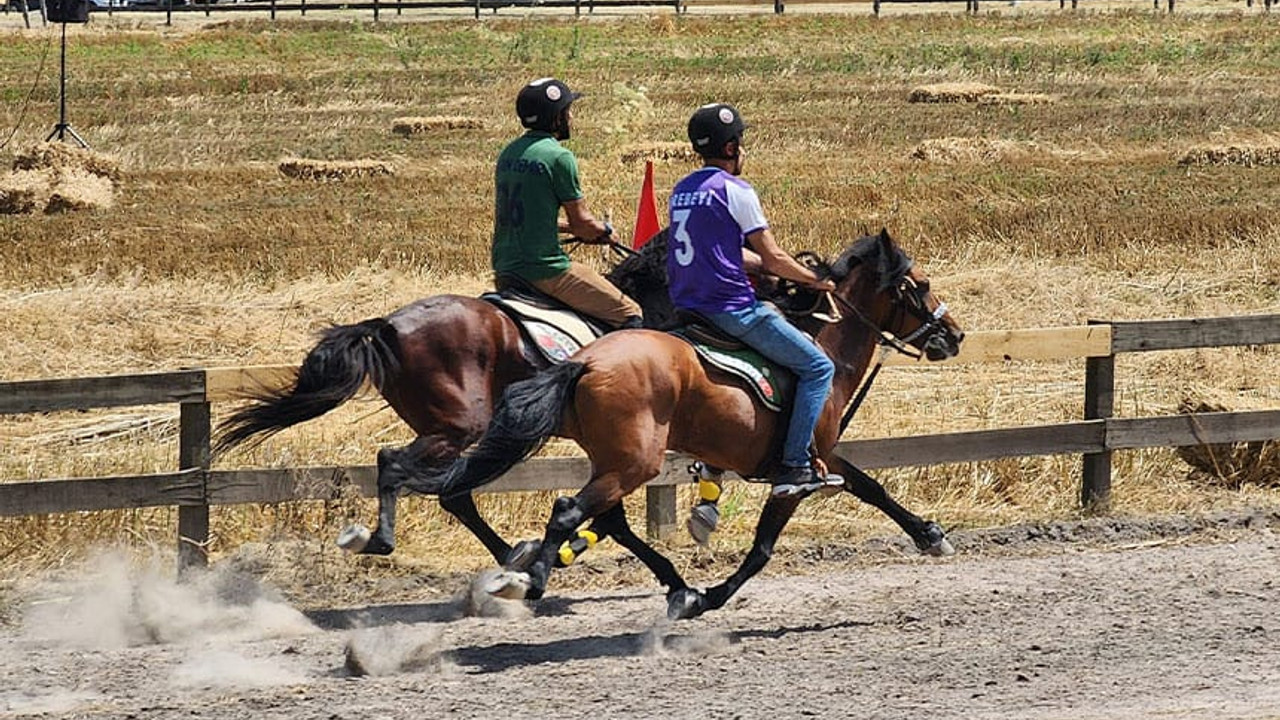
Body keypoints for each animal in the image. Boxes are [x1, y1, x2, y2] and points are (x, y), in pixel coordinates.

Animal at [378, 229, 962, 617]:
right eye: (922, 282)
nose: (953, 334)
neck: (823, 347)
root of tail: (586, 360)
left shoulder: (825, 455)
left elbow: (872, 487)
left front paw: (929, 534)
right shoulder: (798, 474)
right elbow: (761, 549)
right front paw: (709, 595)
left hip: (611, 458)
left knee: (581, 513)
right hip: (628, 460)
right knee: (567, 509)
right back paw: (537, 571)